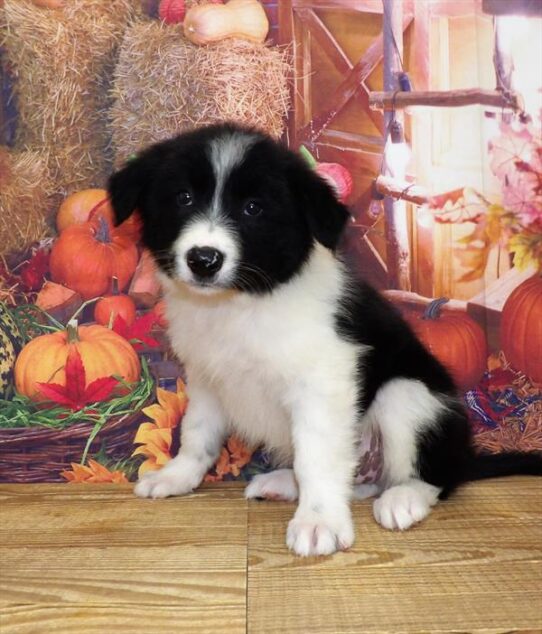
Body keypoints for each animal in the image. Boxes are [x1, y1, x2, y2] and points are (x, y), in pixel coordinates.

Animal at [109, 122, 542, 552]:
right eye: (183, 198)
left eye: (253, 208)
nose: (203, 259)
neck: (242, 302)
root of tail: (464, 456)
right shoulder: (207, 378)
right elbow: (198, 434)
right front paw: (177, 475)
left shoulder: (322, 383)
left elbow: (315, 457)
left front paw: (319, 522)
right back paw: (284, 484)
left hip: (408, 396)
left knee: (433, 476)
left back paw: (403, 498)